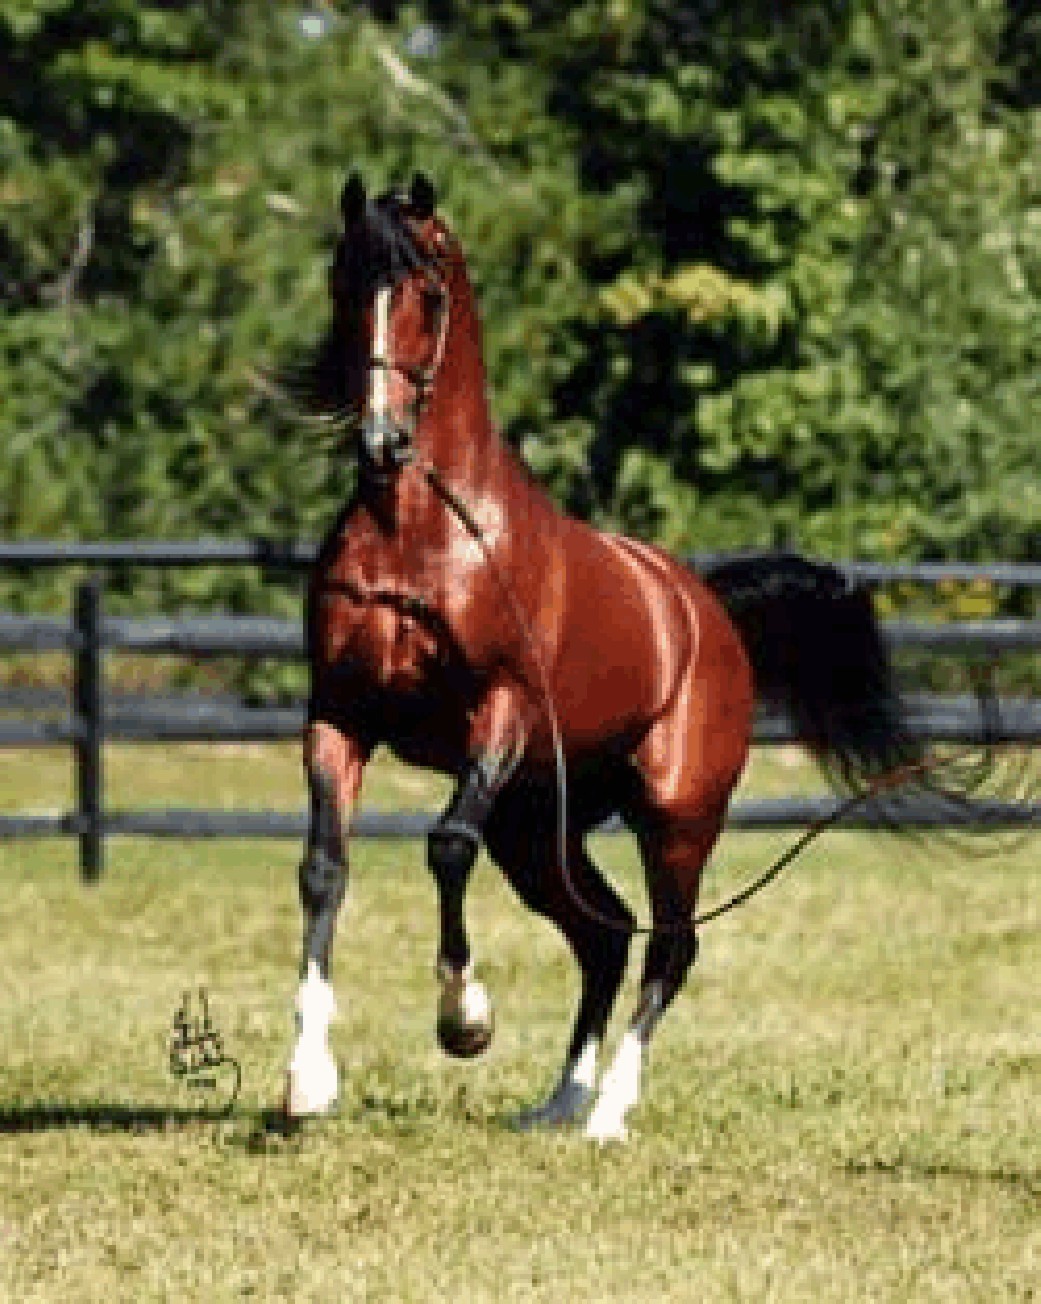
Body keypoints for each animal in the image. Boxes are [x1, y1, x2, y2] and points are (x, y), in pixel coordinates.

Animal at [282, 173, 931, 1141]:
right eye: (343, 283)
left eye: (425, 293)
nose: (381, 443)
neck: (421, 535)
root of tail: (705, 608)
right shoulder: (339, 718)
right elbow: (324, 869)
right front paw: (306, 1079)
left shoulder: (499, 714)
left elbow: (445, 847)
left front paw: (465, 1020)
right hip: (538, 825)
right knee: (604, 933)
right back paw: (559, 1101)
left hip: (675, 816)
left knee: (671, 942)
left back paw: (608, 1112)